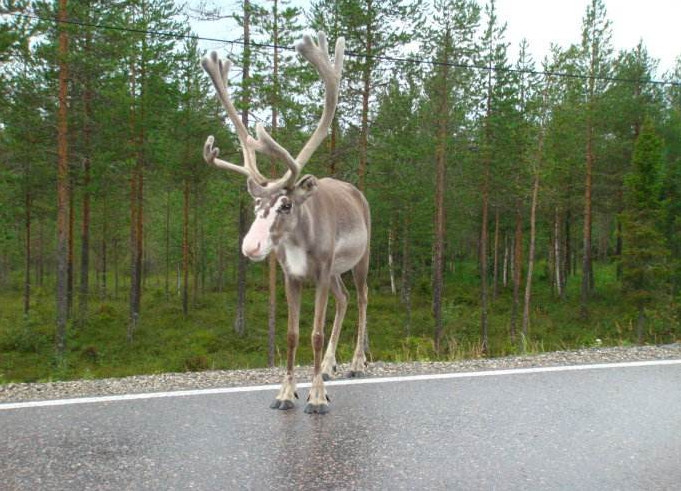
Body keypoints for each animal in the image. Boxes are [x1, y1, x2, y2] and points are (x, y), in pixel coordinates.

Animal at [201, 33, 370, 414]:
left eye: (286, 204)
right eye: (255, 204)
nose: (250, 246)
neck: (298, 245)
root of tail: (357, 192)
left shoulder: (320, 272)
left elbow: (315, 334)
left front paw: (317, 397)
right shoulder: (291, 276)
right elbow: (292, 335)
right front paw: (286, 392)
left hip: (361, 259)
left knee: (362, 298)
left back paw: (356, 362)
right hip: (336, 272)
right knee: (344, 299)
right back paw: (330, 365)